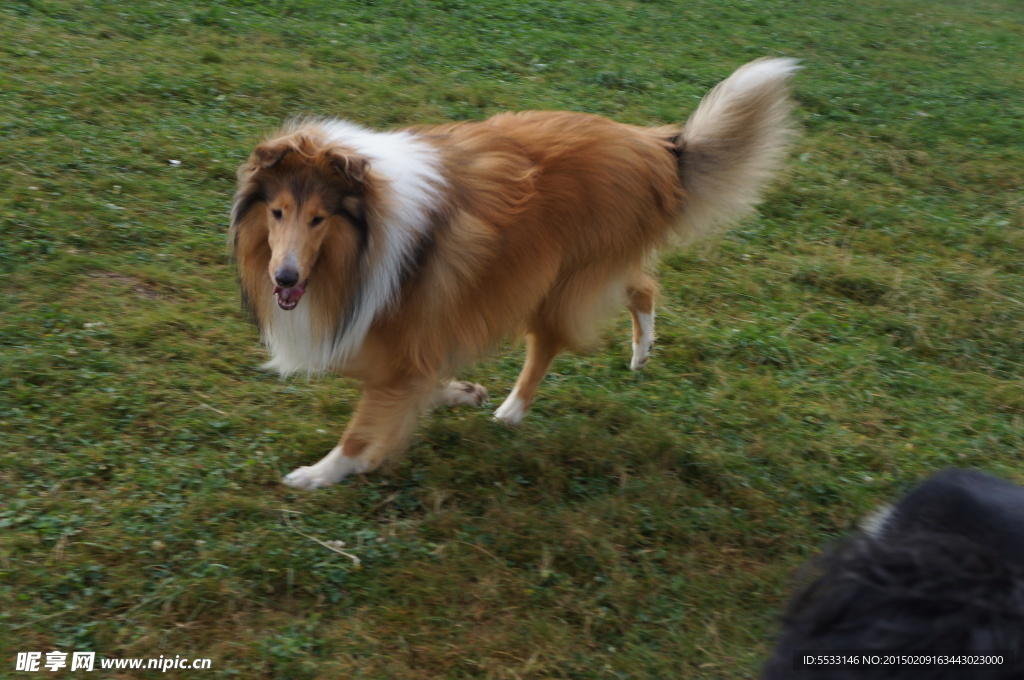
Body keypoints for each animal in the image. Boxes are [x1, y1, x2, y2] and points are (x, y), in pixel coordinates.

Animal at [232, 55, 798, 485]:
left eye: (318, 217)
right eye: (277, 212)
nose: (284, 278)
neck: (367, 232)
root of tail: (654, 146)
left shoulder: (402, 328)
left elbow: (368, 423)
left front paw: (319, 473)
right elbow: (414, 379)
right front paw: (459, 392)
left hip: (555, 282)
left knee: (550, 343)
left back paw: (514, 409)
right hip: (579, 273)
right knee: (641, 286)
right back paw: (641, 352)